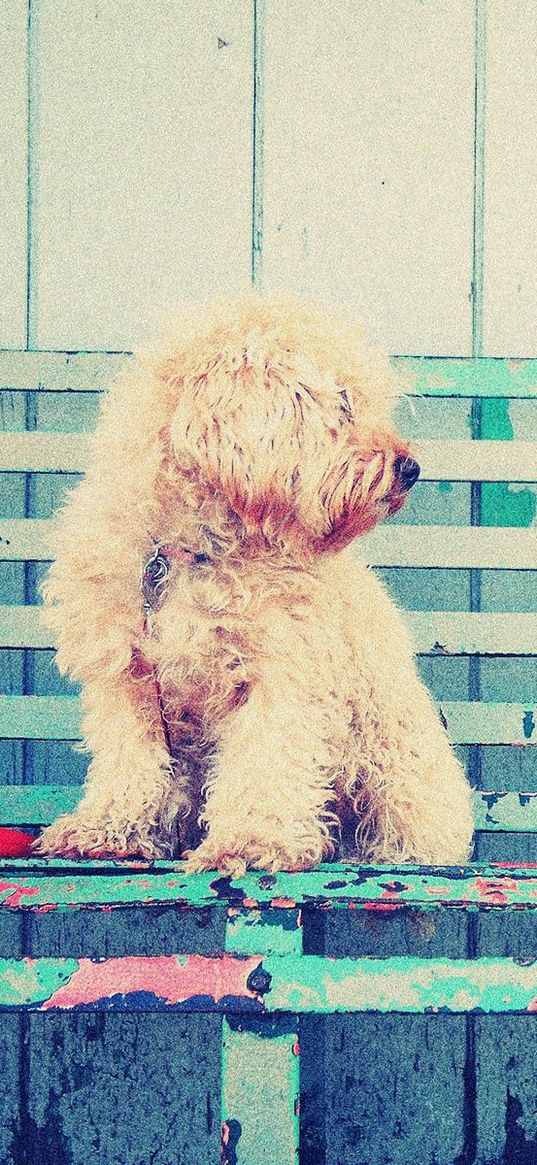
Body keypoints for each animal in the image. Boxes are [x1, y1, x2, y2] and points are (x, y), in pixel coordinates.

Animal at [34, 291, 472, 876]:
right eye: (343, 404)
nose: (411, 468)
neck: (193, 552)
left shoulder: (283, 676)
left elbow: (266, 763)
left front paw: (250, 839)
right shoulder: (129, 681)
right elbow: (131, 763)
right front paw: (107, 828)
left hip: (398, 777)